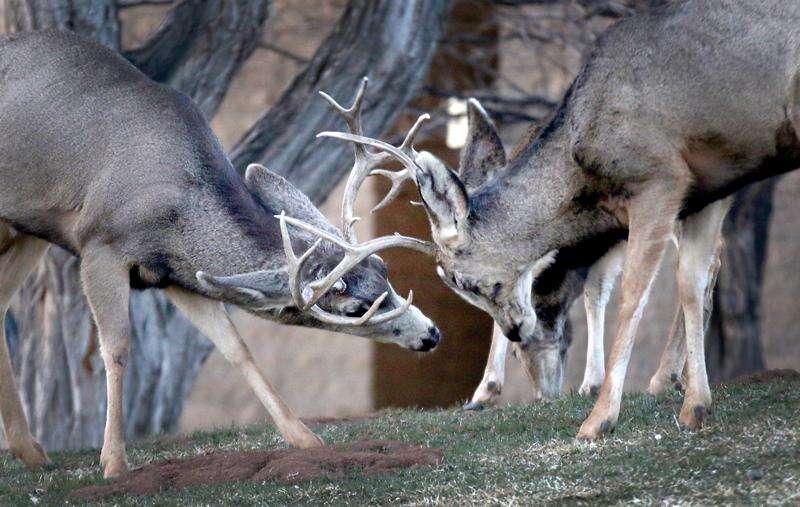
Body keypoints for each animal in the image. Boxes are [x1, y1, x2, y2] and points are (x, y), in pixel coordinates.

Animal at [0, 29, 440, 478]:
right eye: (355, 309)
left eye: (383, 268)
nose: (430, 334)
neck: (176, 208)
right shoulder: (99, 245)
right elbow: (117, 347)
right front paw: (114, 462)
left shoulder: (176, 275)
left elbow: (236, 349)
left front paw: (306, 439)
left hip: (29, 229)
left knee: (1, 301)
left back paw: (30, 450)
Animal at [324, 0, 800, 440]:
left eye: (463, 281)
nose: (516, 331)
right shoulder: (706, 188)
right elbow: (687, 281)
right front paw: (694, 406)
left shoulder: (660, 179)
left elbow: (631, 295)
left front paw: (599, 417)